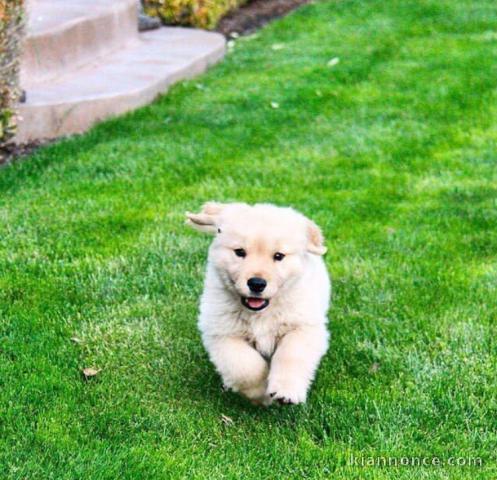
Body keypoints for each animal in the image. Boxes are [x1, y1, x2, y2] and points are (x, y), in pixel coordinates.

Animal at [186, 202, 330, 404]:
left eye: (279, 256)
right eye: (240, 252)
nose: (257, 283)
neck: (261, 313)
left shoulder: (304, 327)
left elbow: (291, 355)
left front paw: (285, 391)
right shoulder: (223, 333)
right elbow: (244, 368)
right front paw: (261, 395)